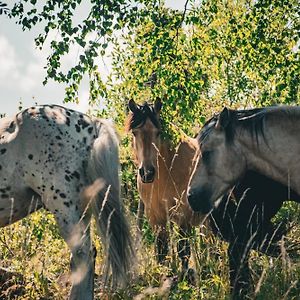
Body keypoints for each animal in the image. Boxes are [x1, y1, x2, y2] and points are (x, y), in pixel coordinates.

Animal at [125, 98, 203, 278]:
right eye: (135, 133)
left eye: (158, 132)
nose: (147, 172)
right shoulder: (155, 216)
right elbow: (161, 250)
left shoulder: (183, 215)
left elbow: (183, 250)